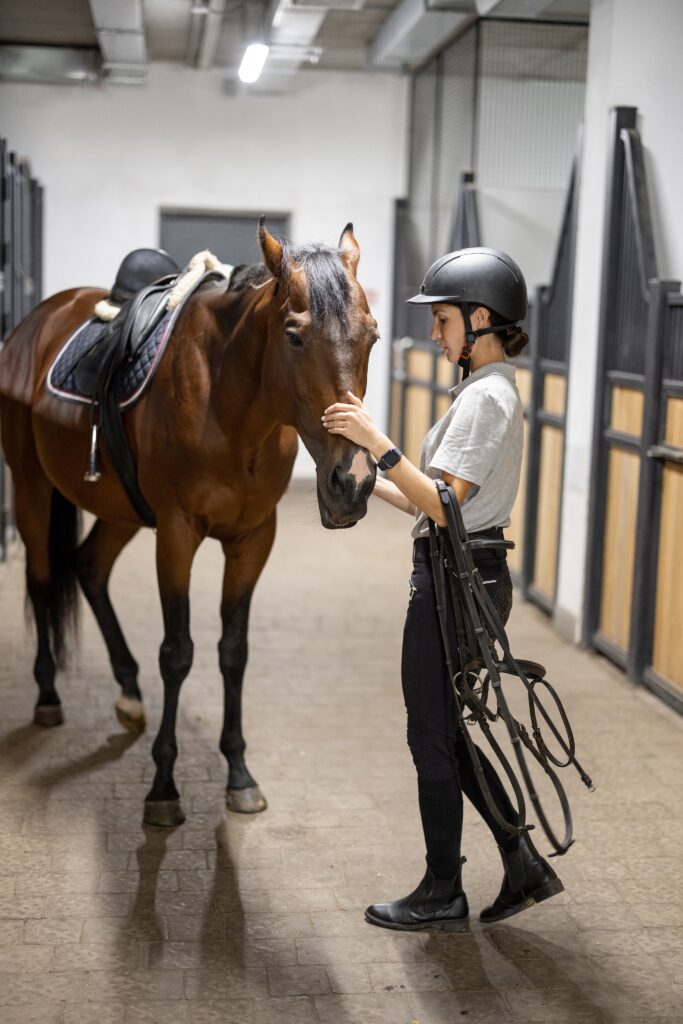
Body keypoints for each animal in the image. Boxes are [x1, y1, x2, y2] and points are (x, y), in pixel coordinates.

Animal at [0, 222, 378, 823]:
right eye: (294, 337)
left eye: (372, 337)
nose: (354, 481)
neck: (231, 406)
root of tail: (39, 319)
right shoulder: (177, 535)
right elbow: (177, 653)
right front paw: (163, 786)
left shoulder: (253, 538)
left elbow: (233, 652)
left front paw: (239, 774)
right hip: (31, 485)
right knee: (41, 579)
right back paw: (48, 697)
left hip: (123, 508)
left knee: (89, 568)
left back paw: (129, 693)